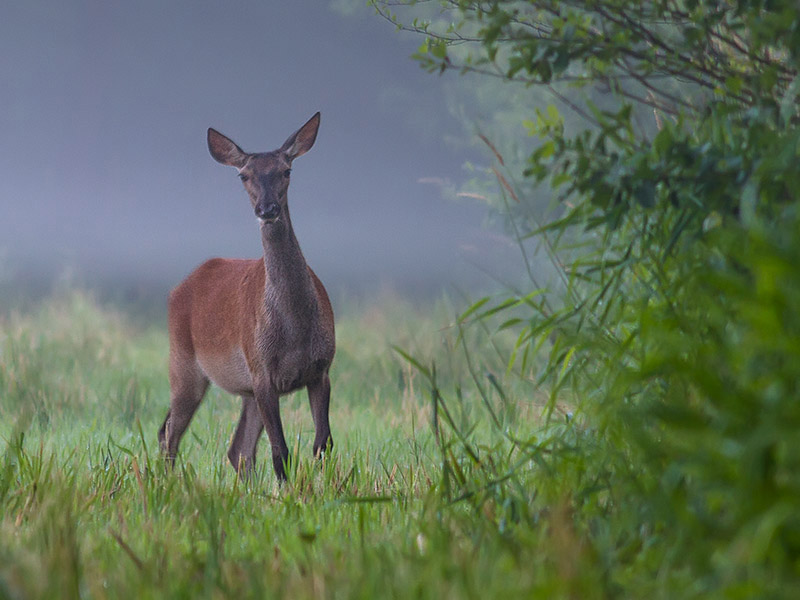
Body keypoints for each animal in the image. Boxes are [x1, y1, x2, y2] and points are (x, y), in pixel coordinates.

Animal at [158, 112, 336, 482]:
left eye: (287, 170)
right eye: (244, 174)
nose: (267, 209)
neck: (295, 329)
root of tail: (178, 289)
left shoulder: (321, 368)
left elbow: (322, 444)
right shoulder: (263, 369)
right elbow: (281, 451)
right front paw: (287, 492)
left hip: (245, 388)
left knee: (236, 449)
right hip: (184, 364)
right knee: (169, 433)